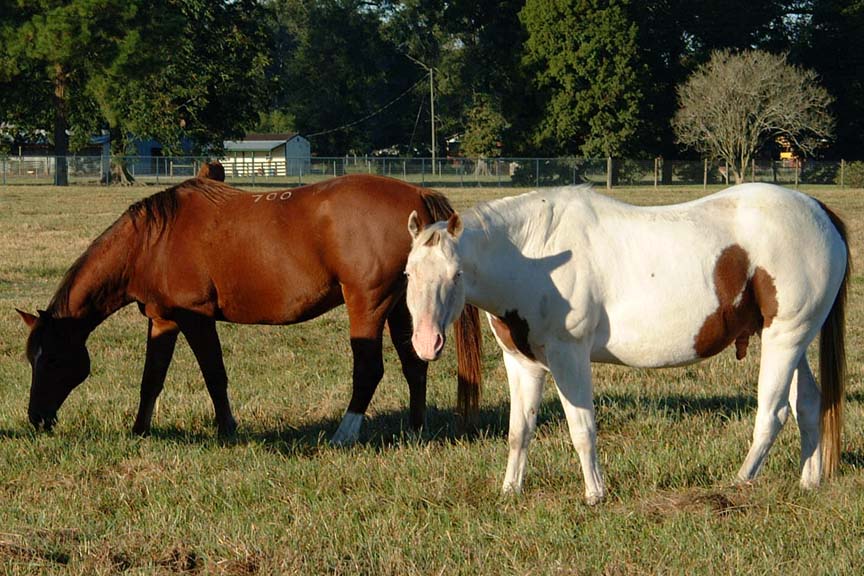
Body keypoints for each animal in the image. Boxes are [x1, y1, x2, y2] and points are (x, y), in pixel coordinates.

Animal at [17, 174, 482, 444]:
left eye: (52, 358)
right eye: (31, 358)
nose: (37, 419)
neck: (153, 239)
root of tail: (416, 193)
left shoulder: (195, 318)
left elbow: (214, 376)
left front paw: (227, 430)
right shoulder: (164, 320)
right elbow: (151, 380)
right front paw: (139, 430)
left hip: (367, 303)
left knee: (369, 370)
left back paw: (344, 434)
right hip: (402, 305)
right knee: (414, 364)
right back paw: (416, 430)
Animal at [404, 183, 848, 503]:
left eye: (456, 274)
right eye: (408, 273)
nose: (426, 342)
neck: (536, 255)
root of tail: (819, 211)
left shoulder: (569, 357)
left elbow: (582, 428)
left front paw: (595, 494)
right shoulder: (522, 362)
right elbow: (519, 431)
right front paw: (510, 490)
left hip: (784, 340)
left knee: (772, 414)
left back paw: (739, 482)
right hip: (789, 341)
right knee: (808, 404)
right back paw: (809, 482)